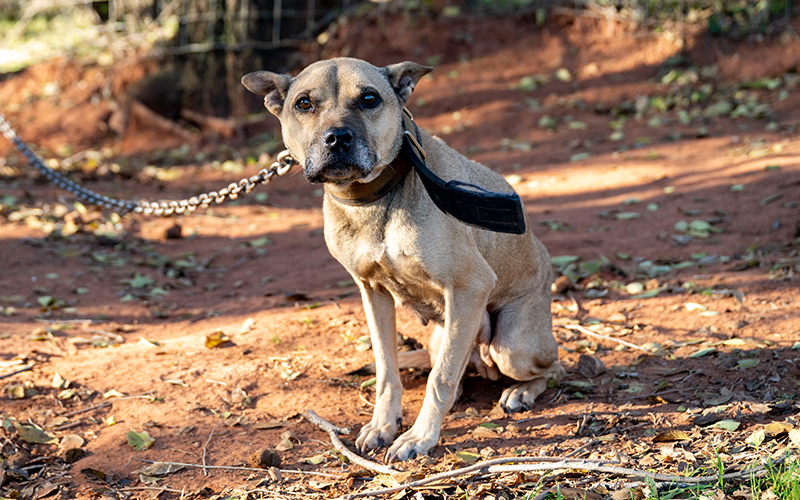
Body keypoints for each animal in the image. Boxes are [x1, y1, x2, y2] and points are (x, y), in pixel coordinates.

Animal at [241, 57, 564, 460]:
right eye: (304, 103)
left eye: (369, 98)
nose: (337, 138)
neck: (374, 198)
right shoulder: (371, 292)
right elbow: (387, 369)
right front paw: (383, 424)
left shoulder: (471, 286)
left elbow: (439, 379)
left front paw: (420, 437)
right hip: (446, 337)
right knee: (453, 365)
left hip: (512, 347)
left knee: (551, 368)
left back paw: (521, 391)